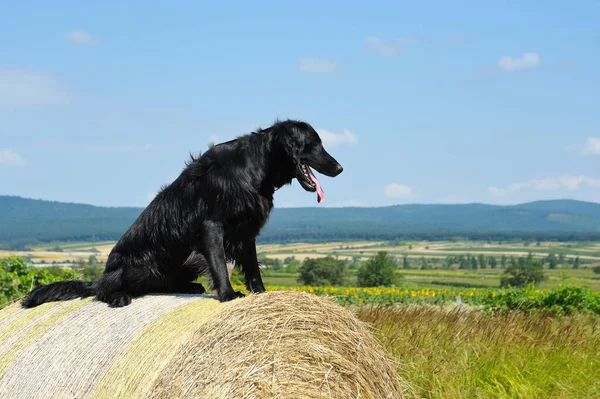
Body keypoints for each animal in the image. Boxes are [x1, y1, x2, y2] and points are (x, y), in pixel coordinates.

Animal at [22, 120, 342, 308]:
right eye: (315, 144)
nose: (339, 168)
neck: (255, 167)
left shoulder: (247, 230)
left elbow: (252, 267)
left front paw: (261, 293)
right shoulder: (212, 226)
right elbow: (220, 265)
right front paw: (228, 295)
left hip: (184, 261)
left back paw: (190, 287)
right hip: (140, 265)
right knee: (103, 290)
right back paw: (118, 296)